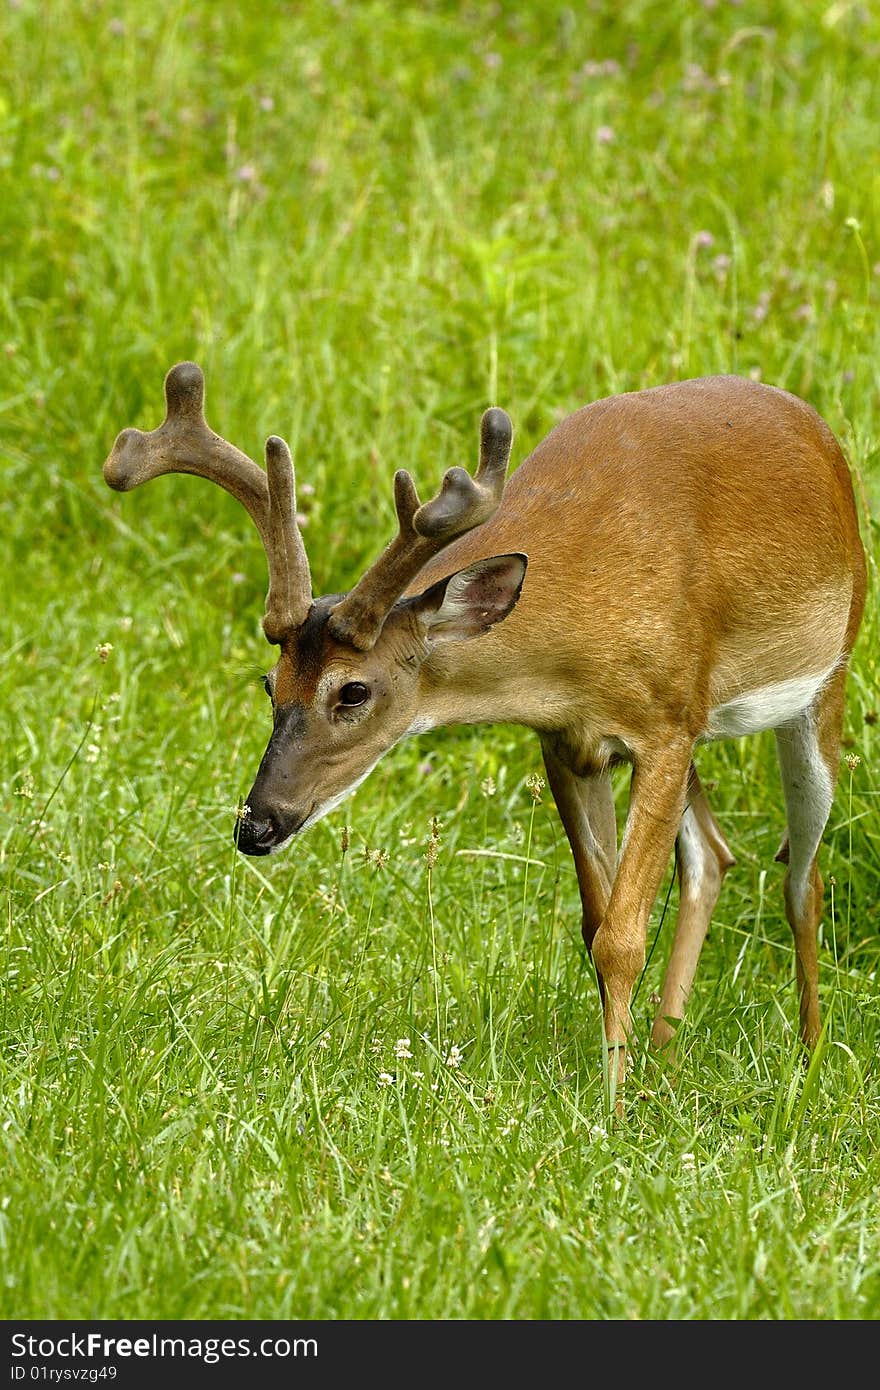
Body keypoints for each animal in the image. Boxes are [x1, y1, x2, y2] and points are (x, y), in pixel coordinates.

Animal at [102, 361, 867, 1095]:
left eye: (353, 690)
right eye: (271, 684)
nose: (256, 825)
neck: (583, 617)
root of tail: (822, 436)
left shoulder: (664, 725)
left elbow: (621, 937)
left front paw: (612, 1107)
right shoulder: (571, 742)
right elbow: (598, 921)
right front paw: (626, 1078)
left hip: (824, 678)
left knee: (804, 880)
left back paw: (809, 1059)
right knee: (712, 851)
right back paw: (666, 1055)